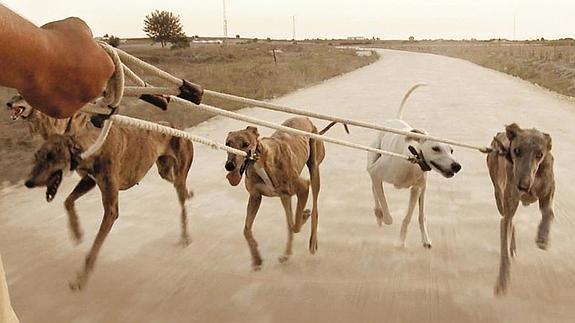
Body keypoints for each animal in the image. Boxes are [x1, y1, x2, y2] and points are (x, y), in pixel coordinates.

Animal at [368, 85, 464, 249]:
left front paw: (401, 241)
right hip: (372, 161)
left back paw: (425, 238)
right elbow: (384, 203)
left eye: (451, 150)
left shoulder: (416, 190)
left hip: (423, 188)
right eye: (435, 148)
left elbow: (408, 218)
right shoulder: (376, 173)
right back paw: (378, 214)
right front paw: (385, 217)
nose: (457, 166)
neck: (411, 161)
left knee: (421, 216)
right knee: (374, 188)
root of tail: (396, 119)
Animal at [488, 124, 556, 296]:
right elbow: (504, 251)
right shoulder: (508, 207)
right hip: (500, 199)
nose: (523, 187)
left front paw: (542, 237)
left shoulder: (548, 194)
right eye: (516, 151)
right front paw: (502, 281)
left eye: (539, 154)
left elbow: (548, 214)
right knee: (509, 222)